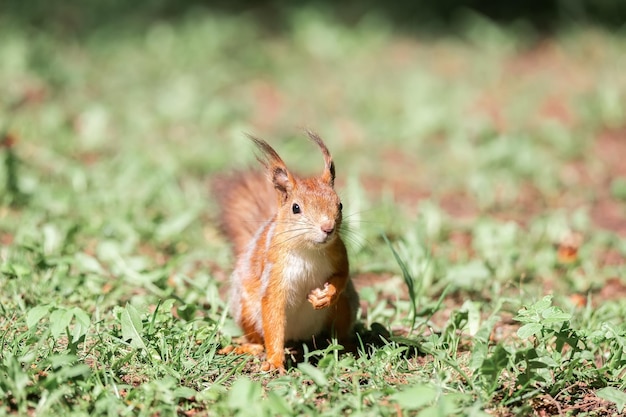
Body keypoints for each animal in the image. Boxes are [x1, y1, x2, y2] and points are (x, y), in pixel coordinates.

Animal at [214, 132, 358, 368]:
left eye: (340, 205)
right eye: (295, 208)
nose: (328, 228)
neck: (307, 250)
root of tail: (298, 336)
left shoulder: (338, 253)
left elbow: (342, 276)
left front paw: (325, 296)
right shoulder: (274, 272)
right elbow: (272, 310)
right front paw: (274, 361)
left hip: (346, 306)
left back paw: (347, 346)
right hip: (246, 310)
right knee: (259, 338)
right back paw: (248, 347)